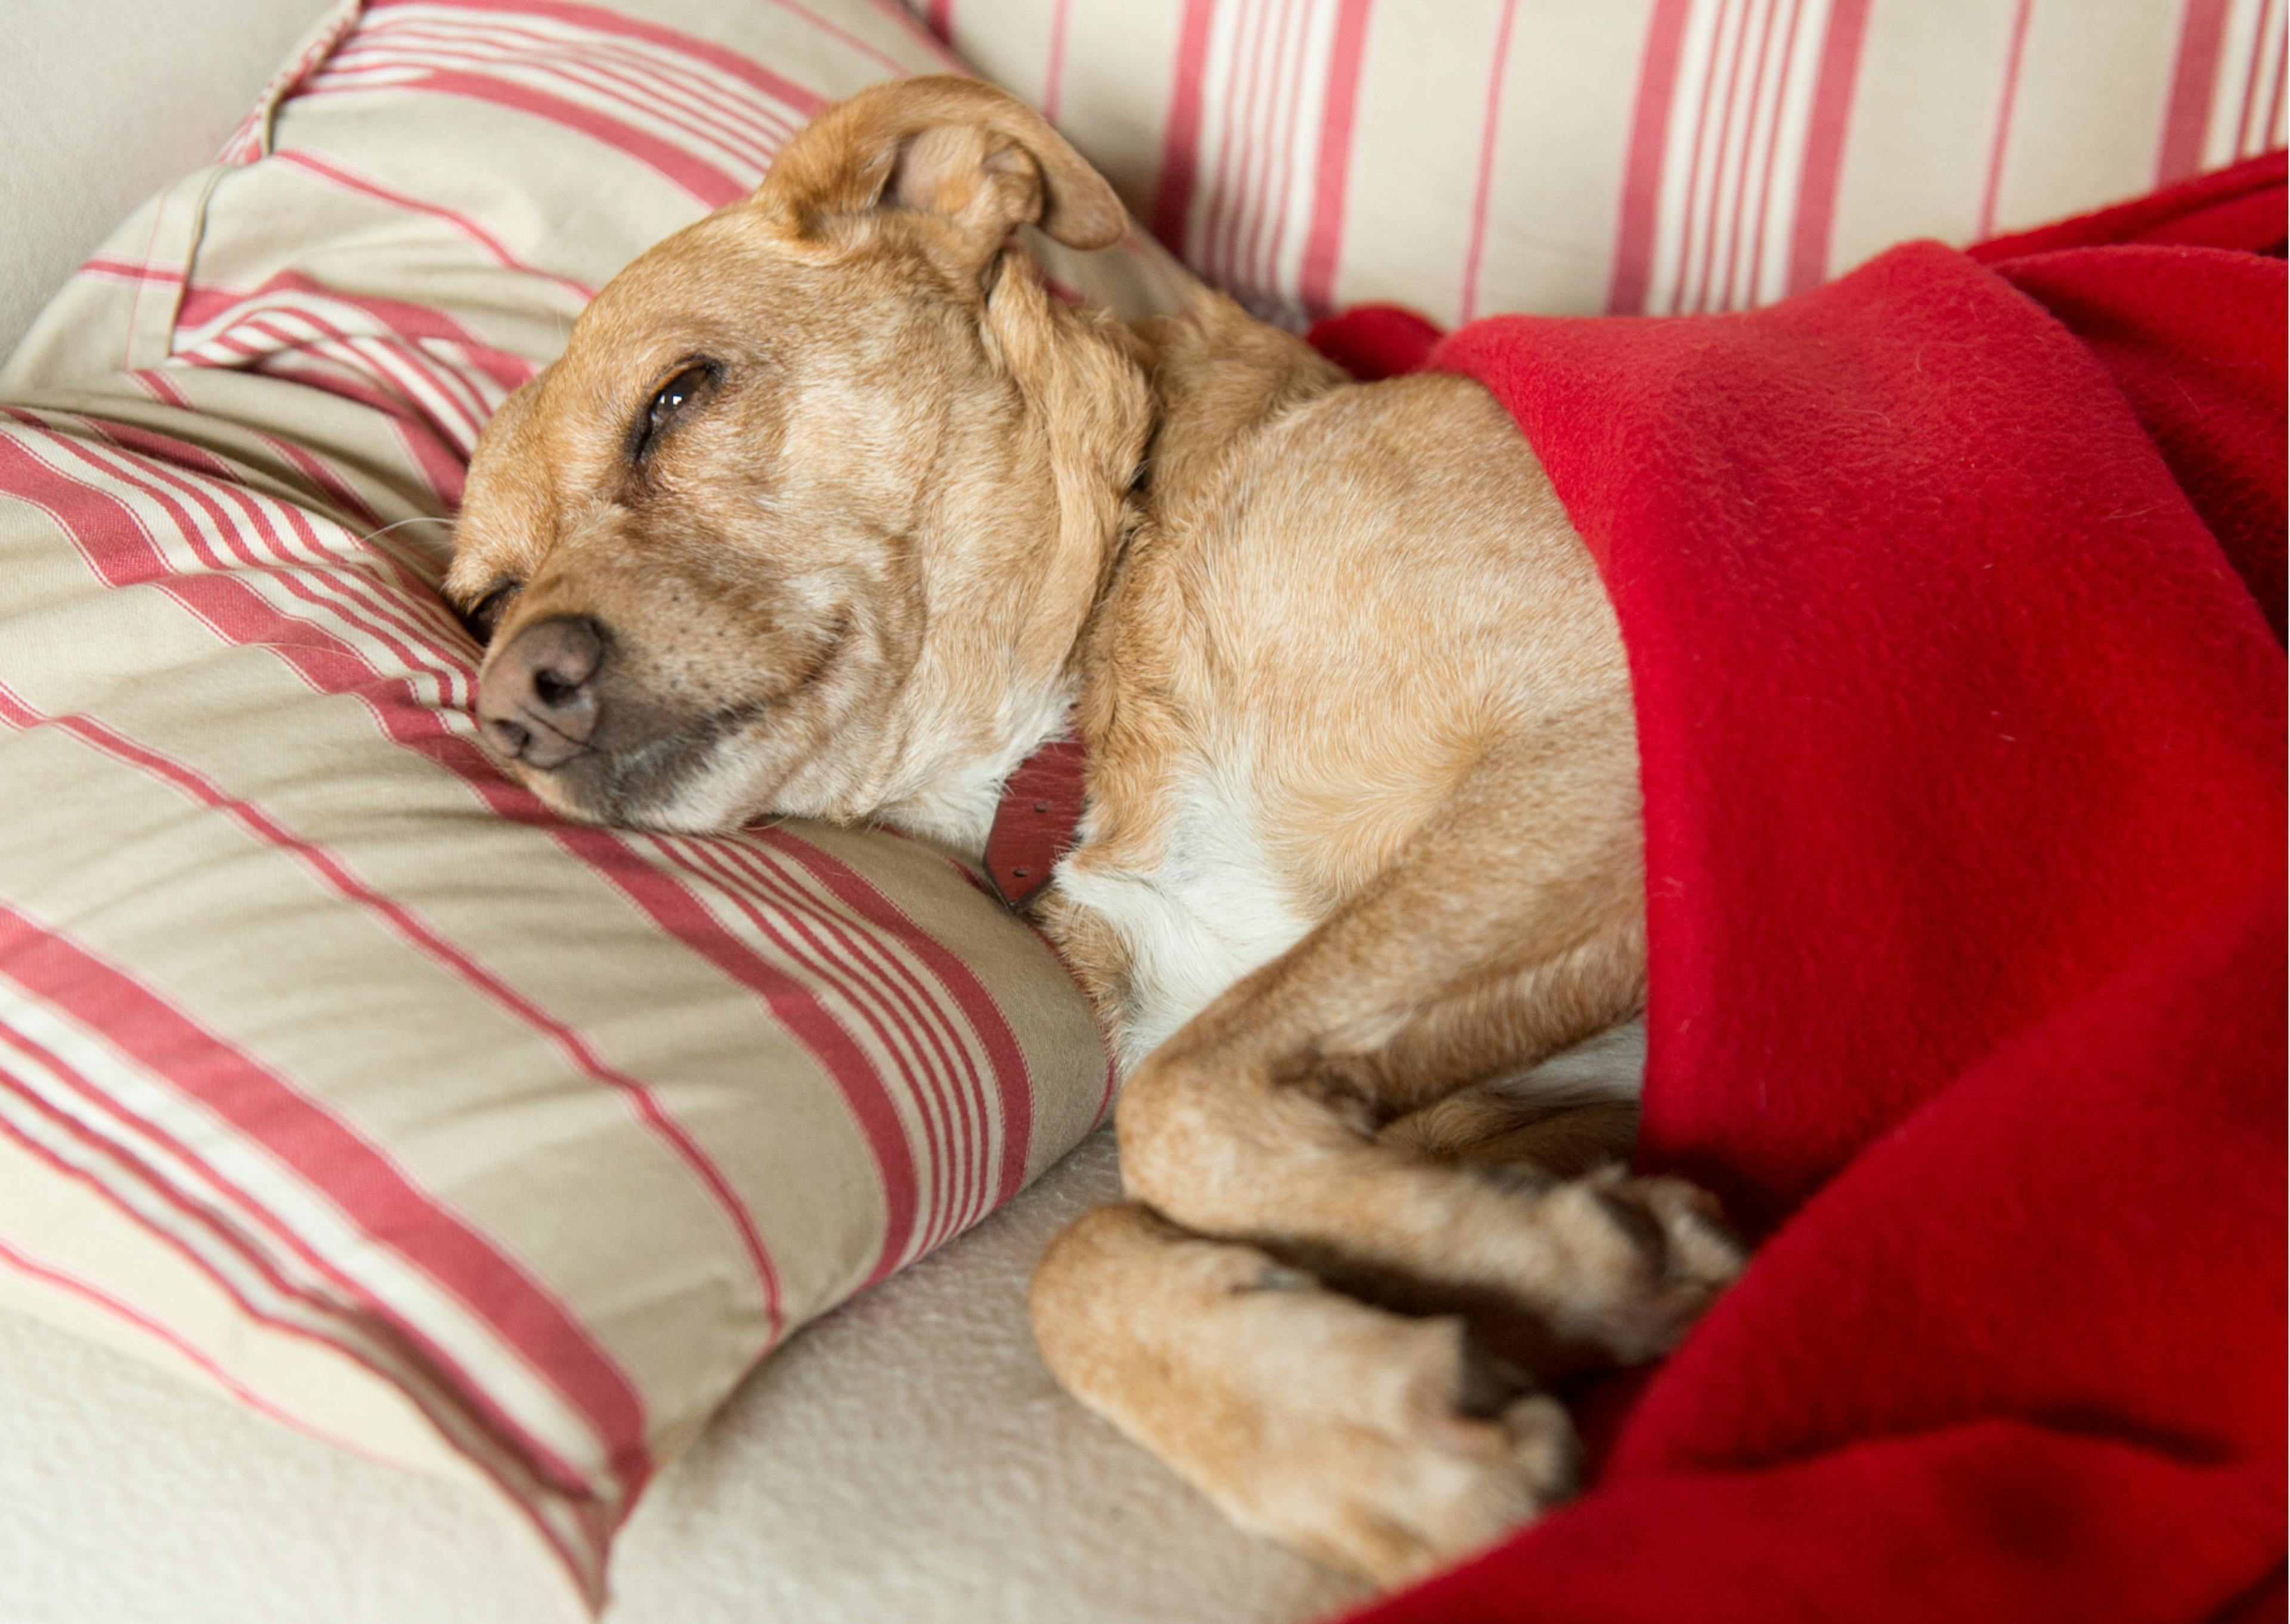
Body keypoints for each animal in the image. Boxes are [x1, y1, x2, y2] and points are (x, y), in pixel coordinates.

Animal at [442, 72, 1731, 1585]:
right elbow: (1087, 1248)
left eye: (676, 398)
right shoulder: (1525, 1097)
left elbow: (1174, 1106)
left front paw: (1565, 1277)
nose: (512, 701)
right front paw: (1381, 1434)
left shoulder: (1607, 747)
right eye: (485, 601)